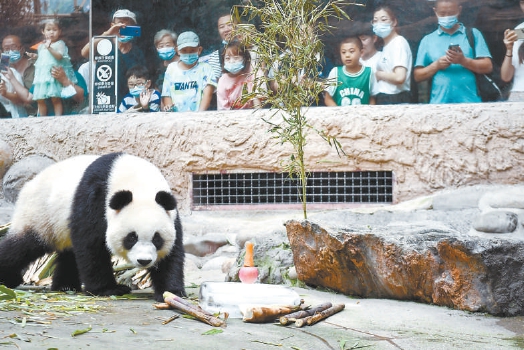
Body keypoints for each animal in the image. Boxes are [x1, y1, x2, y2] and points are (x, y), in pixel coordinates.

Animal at [0, 152, 186, 300]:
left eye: (157, 239)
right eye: (131, 237)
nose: (144, 260)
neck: (139, 183)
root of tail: (28, 185)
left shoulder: (170, 212)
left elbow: (172, 254)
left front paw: (171, 291)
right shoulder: (96, 197)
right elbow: (91, 245)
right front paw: (109, 289)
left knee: (69, 252)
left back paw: (66, 285)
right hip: (41, 214)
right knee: (23, 246)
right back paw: (9, 278)